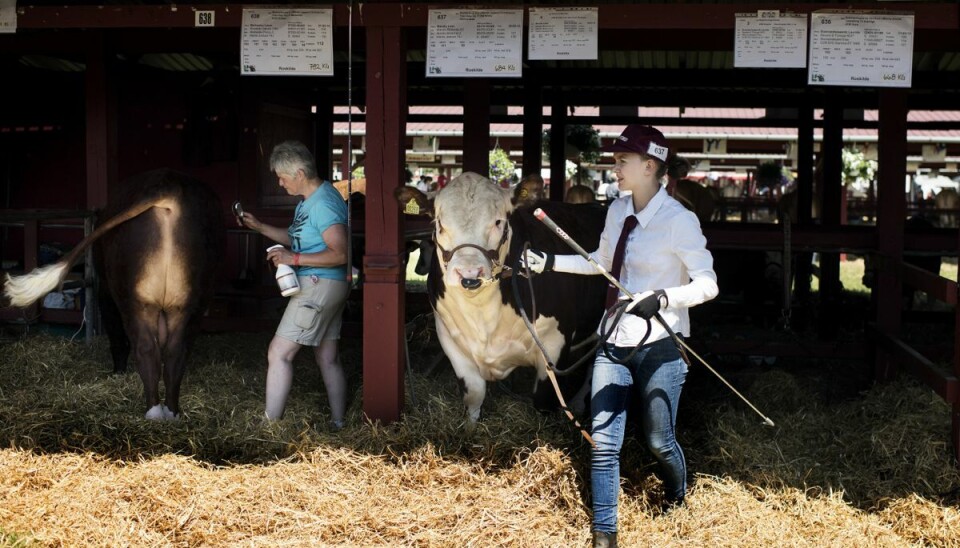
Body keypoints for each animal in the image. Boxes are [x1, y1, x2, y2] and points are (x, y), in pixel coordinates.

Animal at [4, 170, 224, 420]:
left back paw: (153, 413)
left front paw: (118, 372)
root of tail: (169, 186)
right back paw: (172, 414)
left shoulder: (105, 291)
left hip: (132, 297)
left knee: (145, 348)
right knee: (176, 351)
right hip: (192, 300)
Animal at [398, 173, 608, 422]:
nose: (469, 273)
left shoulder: (555, 346)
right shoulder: (452, 342)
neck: (484, 314)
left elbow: (543, 402)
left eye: (498, 222)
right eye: (440, 223)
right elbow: (474, 396)